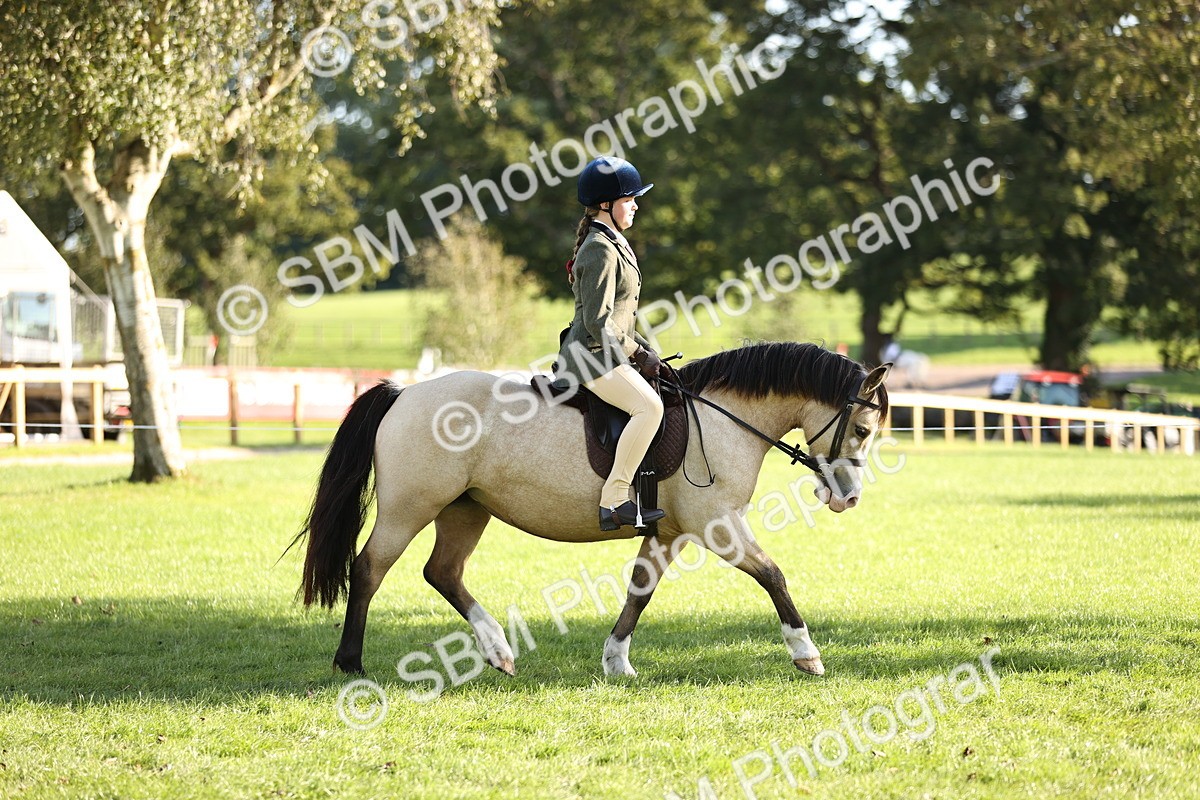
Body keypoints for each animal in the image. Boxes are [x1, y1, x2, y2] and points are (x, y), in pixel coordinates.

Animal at [293, 342, 890, 679]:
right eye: (862, 429)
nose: (849, 498)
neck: (723, 418)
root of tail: (404, 393)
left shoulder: (669, 532)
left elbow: (639, 592)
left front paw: (616, 660)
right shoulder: (717, 526)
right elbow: (773, 576)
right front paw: (806, 654)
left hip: (465, 509)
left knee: (441, 572)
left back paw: (498, 650)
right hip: (410, 508)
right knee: (369, 569)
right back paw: (350, 661)